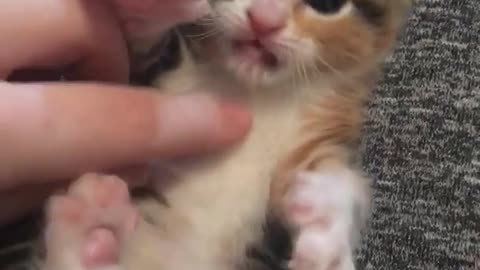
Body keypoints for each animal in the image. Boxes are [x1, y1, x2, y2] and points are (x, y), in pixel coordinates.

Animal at [38, 0, 412, 270]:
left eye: (326, 2)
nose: (264, 19)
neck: (253, 91)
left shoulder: (321, 128)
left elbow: (335, 180)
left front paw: (327, 224)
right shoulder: (133, 77)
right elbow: (139, 53)